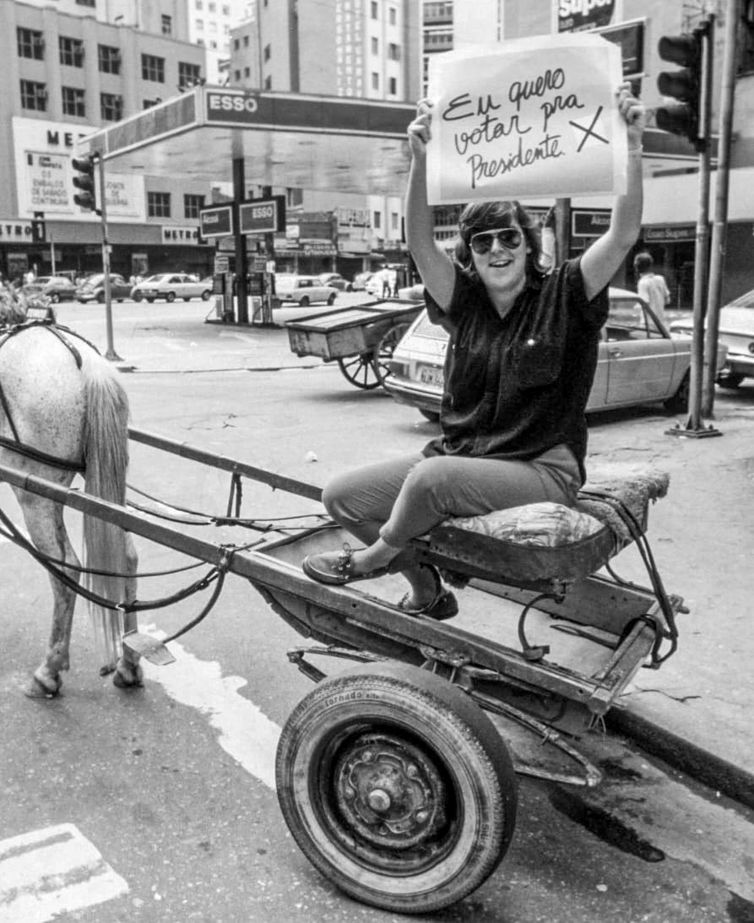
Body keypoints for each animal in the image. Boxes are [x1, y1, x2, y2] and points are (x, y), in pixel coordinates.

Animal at [0, 286, 142, 692]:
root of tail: (86, 362)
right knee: (127, 555)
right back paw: (129, 662)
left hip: (36, 492)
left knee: (65, 567)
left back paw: (49, 670)